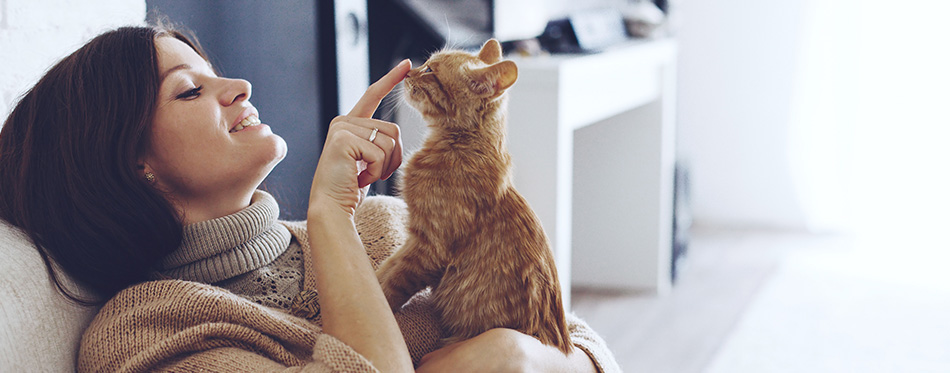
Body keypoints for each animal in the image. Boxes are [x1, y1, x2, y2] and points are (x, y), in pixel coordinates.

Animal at [378, 39, 572, 354]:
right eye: (424, 64)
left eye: (429, 70)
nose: (408, 73)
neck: (459, 146)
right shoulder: (414, 241)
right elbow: (386, 267)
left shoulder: (428, 248)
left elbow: (391, 285)